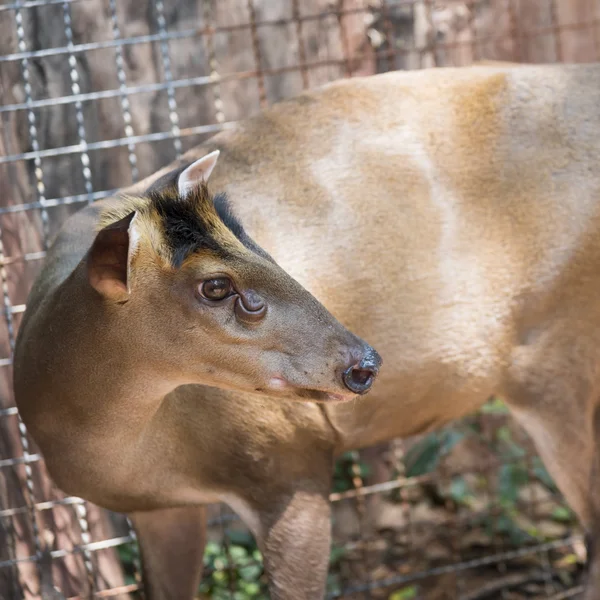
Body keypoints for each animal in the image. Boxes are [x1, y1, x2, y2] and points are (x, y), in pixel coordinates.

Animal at [14, 62, 600, 600]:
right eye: (216, 286)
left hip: (555, 355)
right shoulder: (161, 509)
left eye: (257, 243)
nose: (364, 364)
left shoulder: (289, 459)